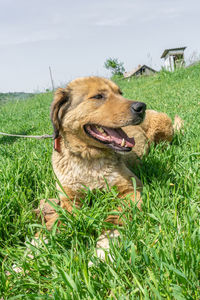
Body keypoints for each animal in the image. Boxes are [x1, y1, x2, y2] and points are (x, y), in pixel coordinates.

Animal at [39, 75, 173, 230]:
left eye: (120, 93)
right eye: (98, 96)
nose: (141, 107)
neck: (89, 159)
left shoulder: (131, 187)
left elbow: (124, 209)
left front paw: (111, 225)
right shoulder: (69, 197)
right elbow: (63, 215)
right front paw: (47, 230)